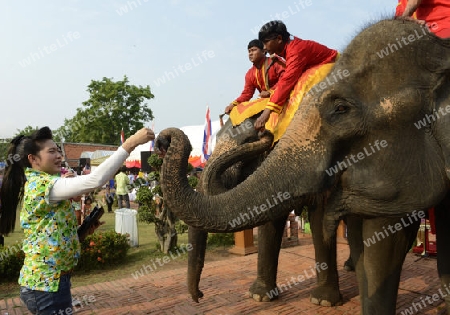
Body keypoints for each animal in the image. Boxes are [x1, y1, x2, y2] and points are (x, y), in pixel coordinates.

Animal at [155, 19, 450, 315]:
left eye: (248, 142)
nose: (199, 296)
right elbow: (271, 219)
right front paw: (260, 296)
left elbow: (319, 218)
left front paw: (322, 300)